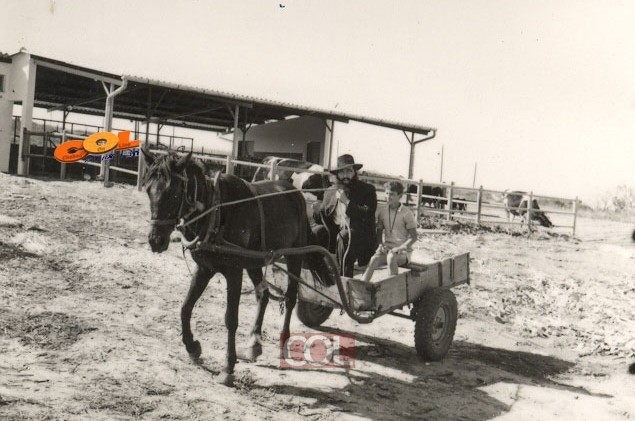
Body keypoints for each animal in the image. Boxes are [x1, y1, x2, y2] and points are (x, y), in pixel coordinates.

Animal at [142, 148, 318, 384]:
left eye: (174, 193)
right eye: (148, 190)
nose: (156, 241)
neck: (214, 211)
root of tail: (294, 192)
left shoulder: (234, 272)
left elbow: (230, 319)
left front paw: (227, 367)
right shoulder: (204, 269)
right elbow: (185, 308)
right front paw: (192, 347)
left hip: (294, 257)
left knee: (290, 299)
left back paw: (283, 344)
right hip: (254, 261)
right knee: (262, 294)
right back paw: (253, 344)